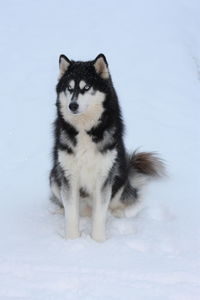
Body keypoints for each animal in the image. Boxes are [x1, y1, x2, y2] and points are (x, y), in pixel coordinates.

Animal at [48, 53, 164, 241]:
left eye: (86, 87)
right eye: (69, 88)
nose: (72, 105)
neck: (84, 130)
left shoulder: (103, 177)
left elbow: (100, 214)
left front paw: (98, 241)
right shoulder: (68, 175)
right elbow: (71, 214)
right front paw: (72, 240)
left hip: (119, 176)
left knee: (119, 202)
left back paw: (117, 214)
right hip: (54, 176)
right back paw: (59, 210)